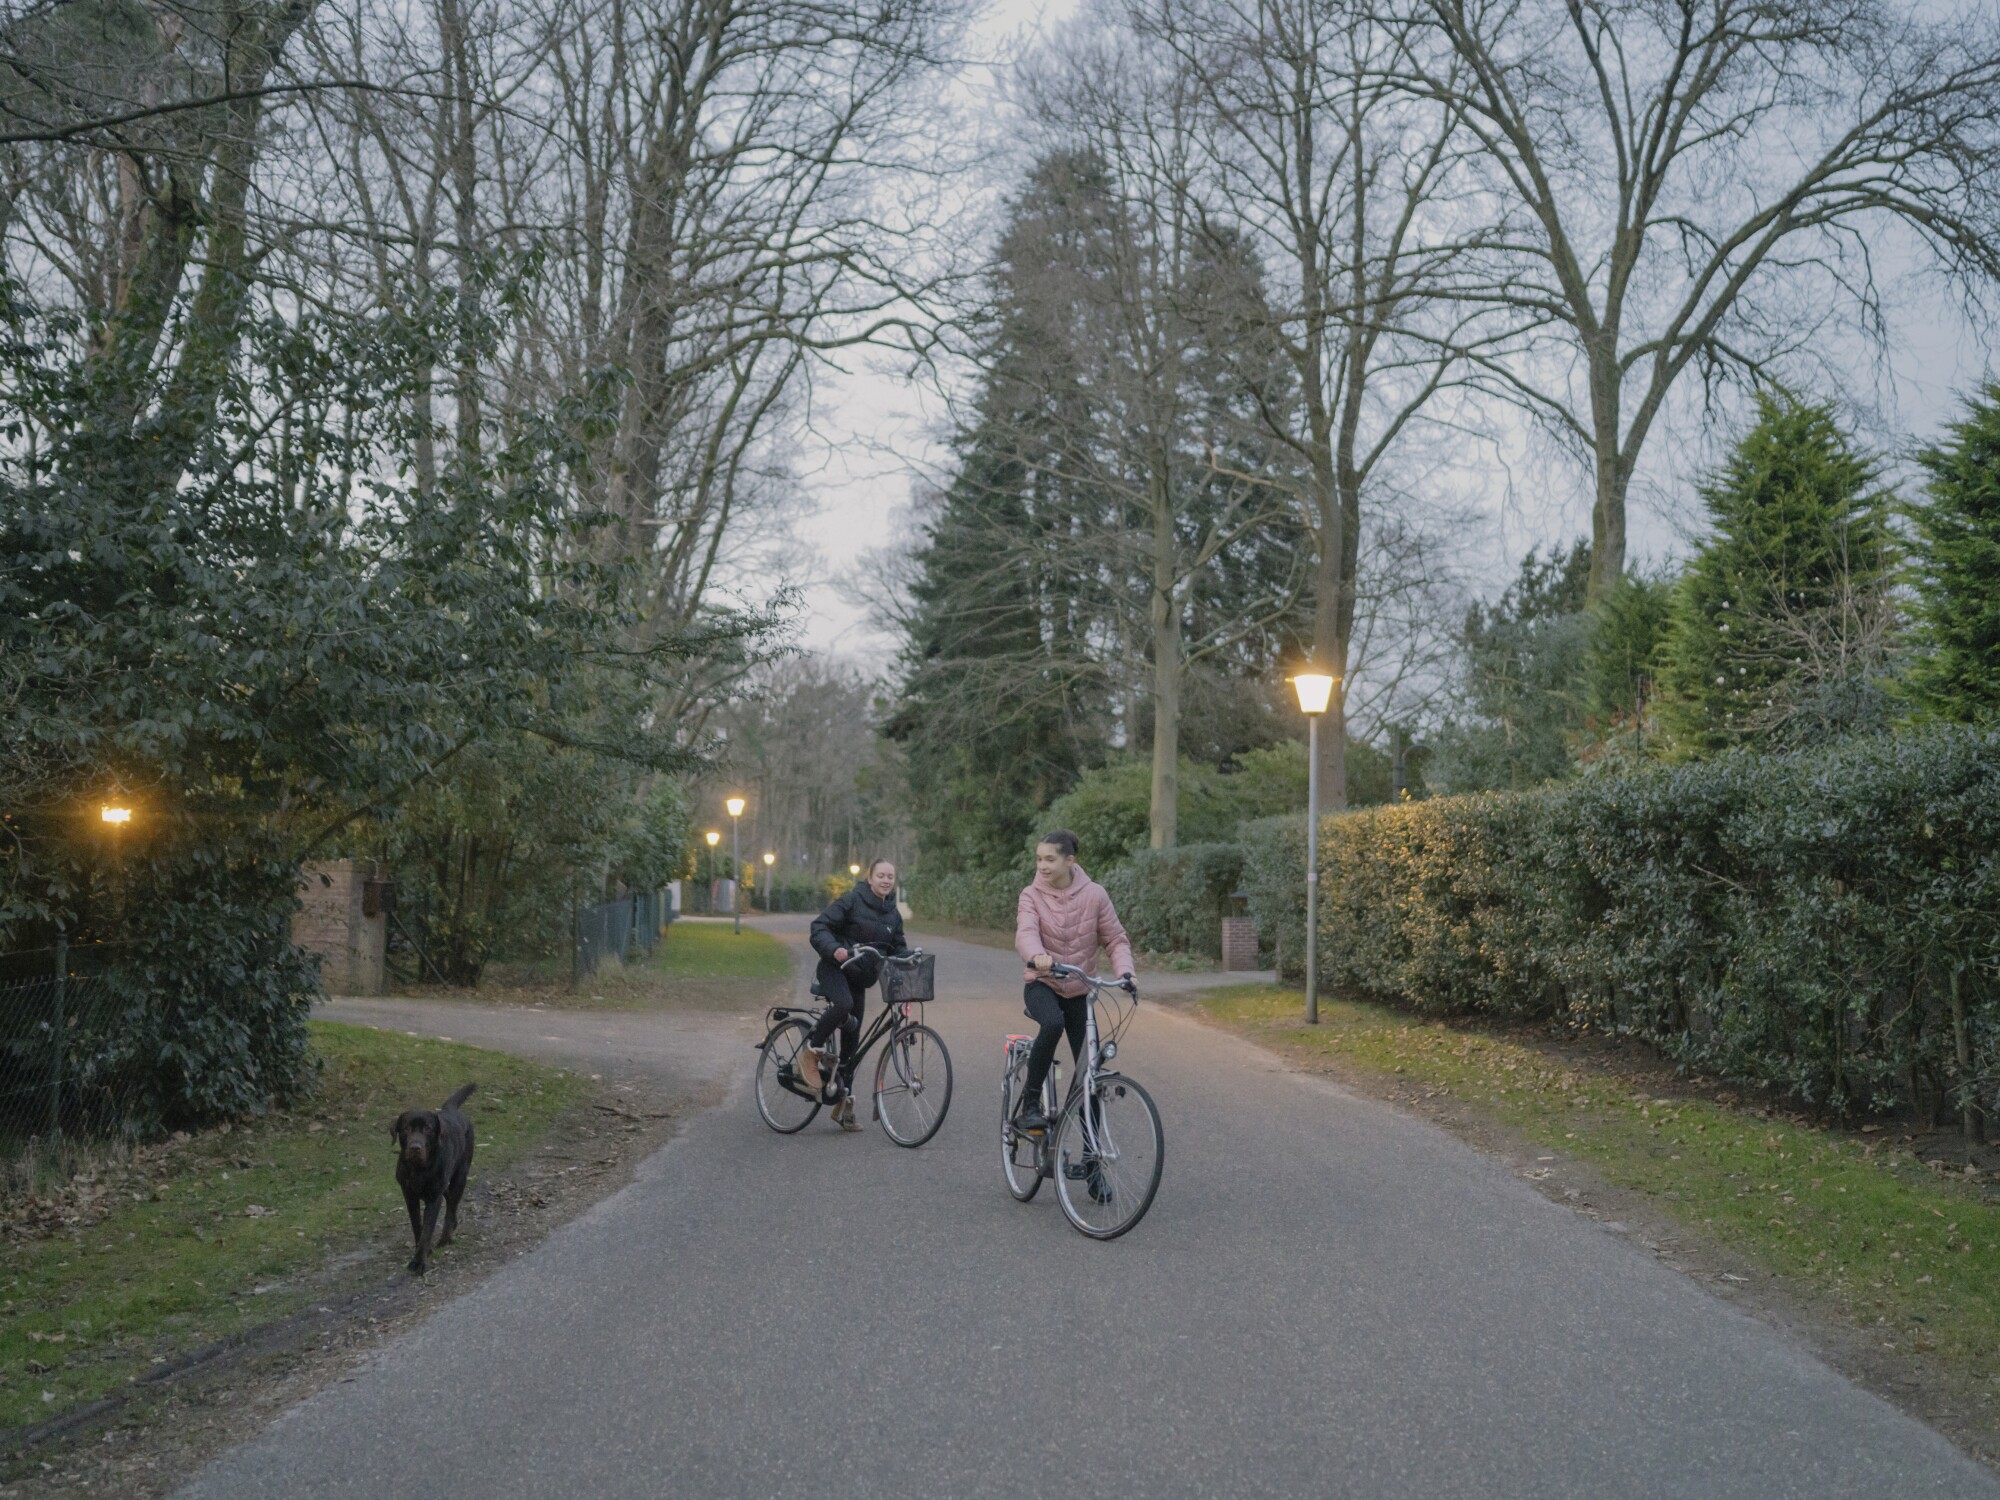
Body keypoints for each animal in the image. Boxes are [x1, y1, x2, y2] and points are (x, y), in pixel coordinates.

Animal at [394, 1088, 480, 1272]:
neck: (419, 1169)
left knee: (451, 1208)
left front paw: (419, 1261)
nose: (415, 1147)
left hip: (459, 1178)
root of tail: (450, 1110)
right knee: (450, 1202)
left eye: (427, 1128)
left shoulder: (434, 1199)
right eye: (406, 1128)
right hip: (446, 1184)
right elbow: (417, 1226)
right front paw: (424, 1251)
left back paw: (445, 1238)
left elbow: (427, 1230)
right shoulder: (409, 1196)